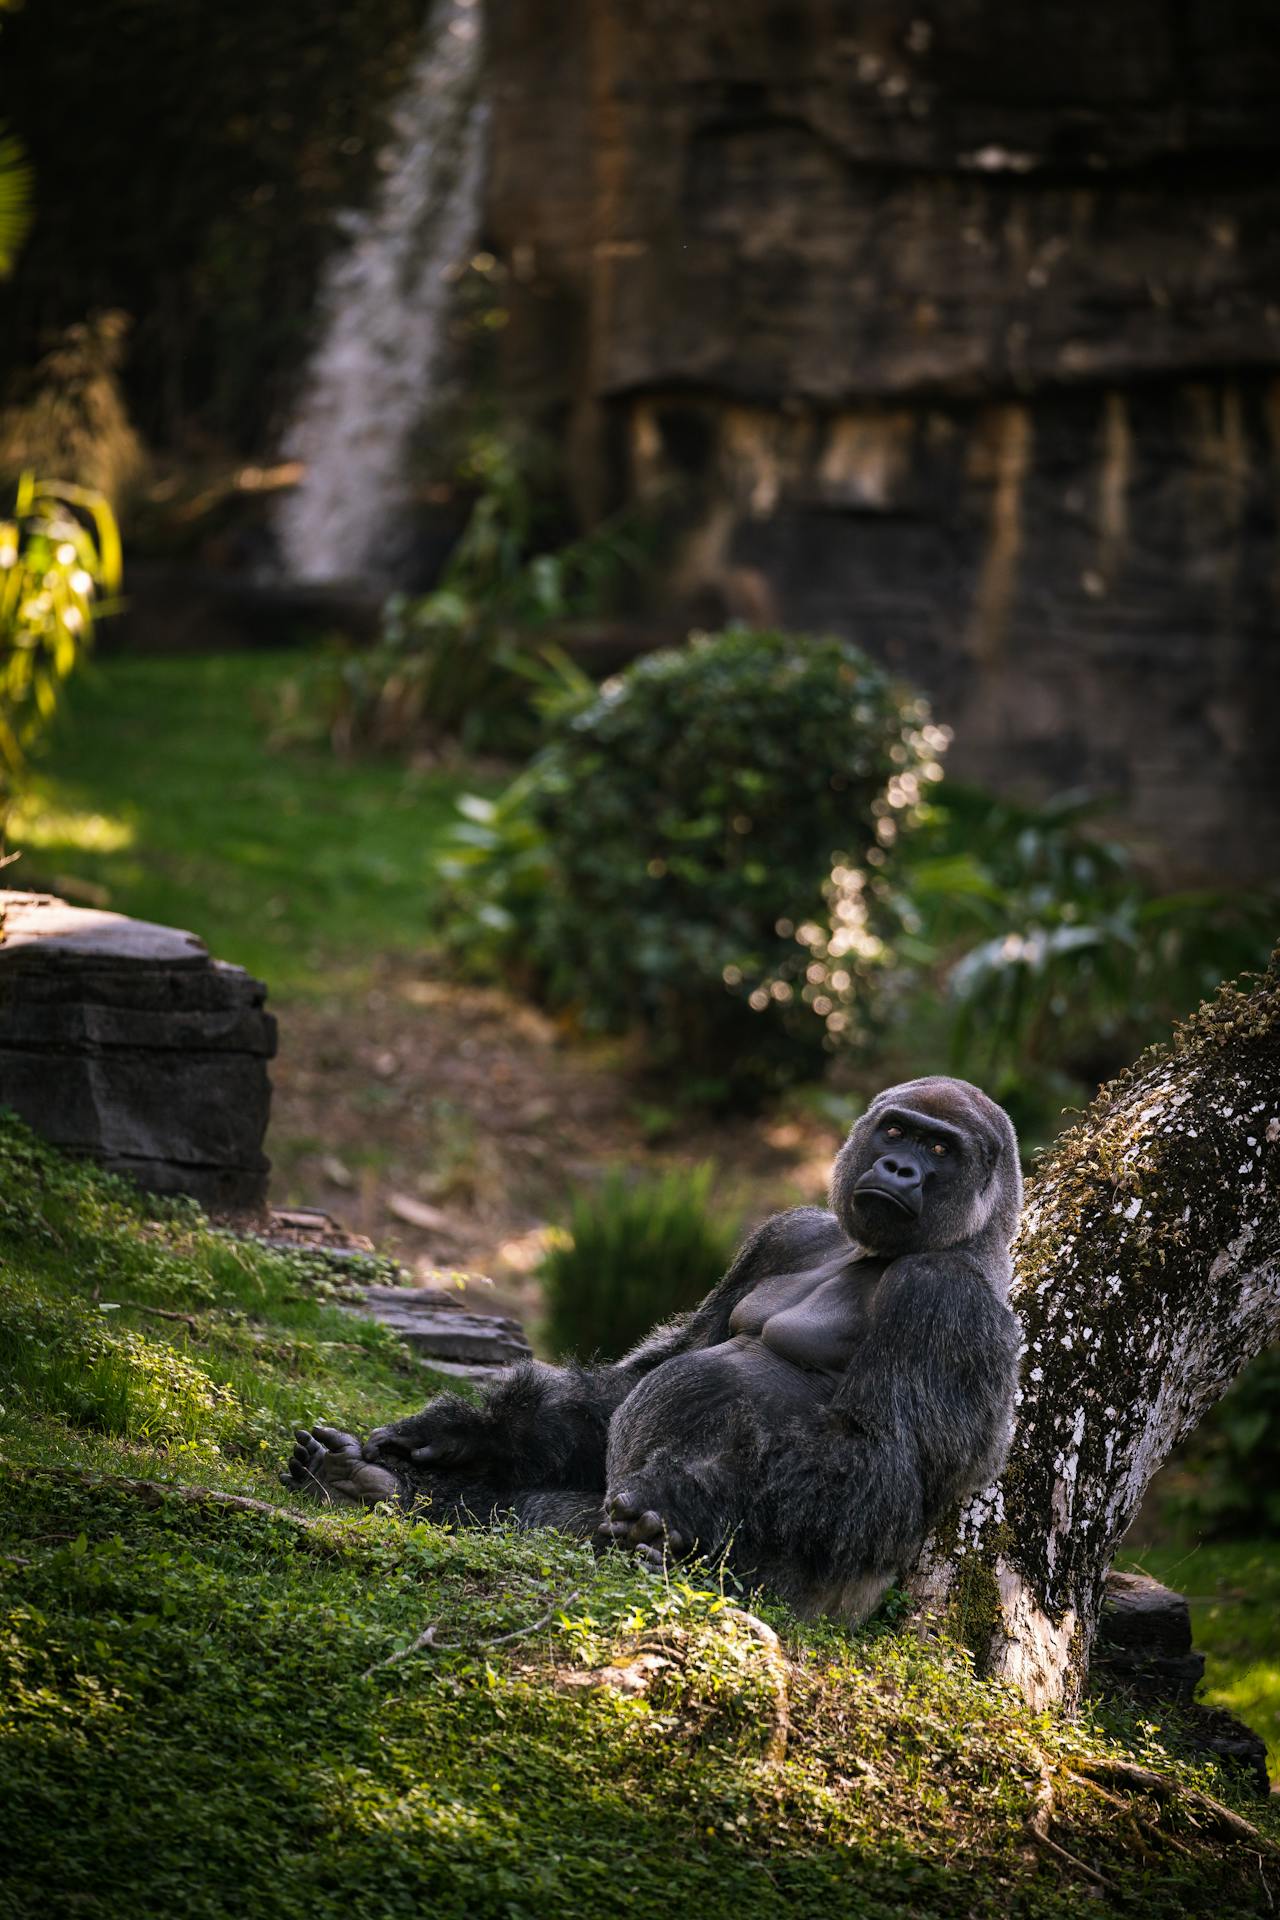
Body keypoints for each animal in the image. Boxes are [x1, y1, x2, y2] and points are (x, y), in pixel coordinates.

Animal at [284, 1076, 1022, 1622]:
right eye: (895, 1131)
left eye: (941, 1149)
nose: (899, 1168)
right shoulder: (788, 1234)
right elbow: (652, 1370)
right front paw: (469, 1429)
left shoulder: (943, 1297)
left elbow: (879, 1462)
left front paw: (684, 1494)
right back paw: (364, 1481)